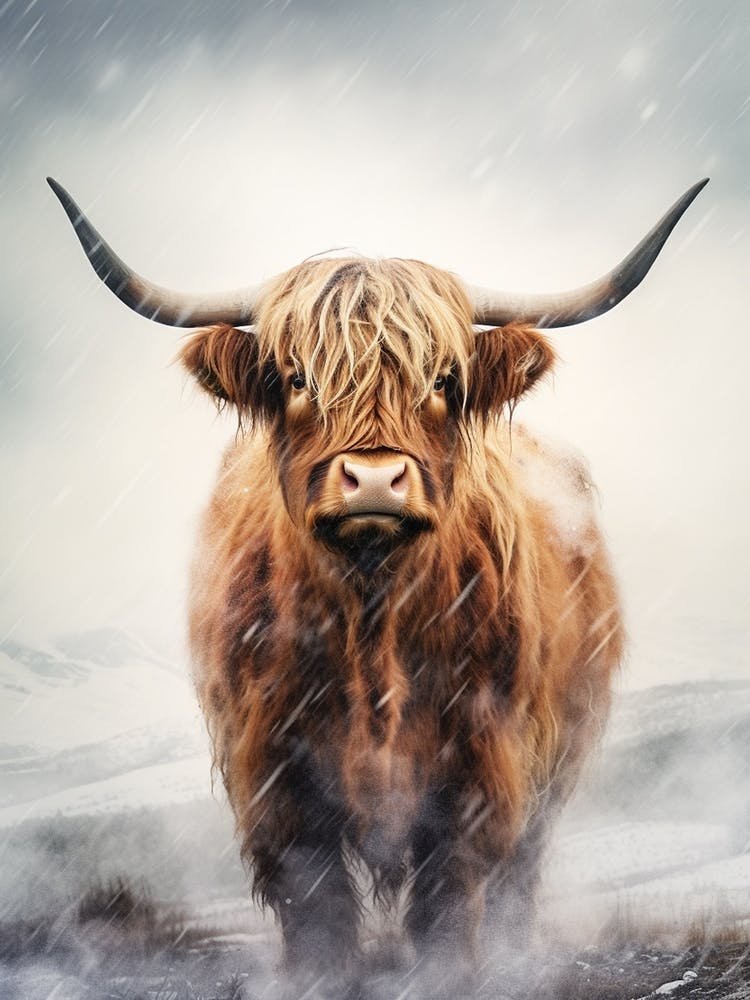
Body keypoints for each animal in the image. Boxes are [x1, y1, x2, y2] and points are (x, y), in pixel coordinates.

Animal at [49, 176, 707, 999]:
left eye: (444, 380)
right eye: (297, 378)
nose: (372, 479)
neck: (372, 619)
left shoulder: (478, 765)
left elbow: (449, 899)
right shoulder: (277, 776)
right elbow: (318, 906)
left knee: (521, 872)